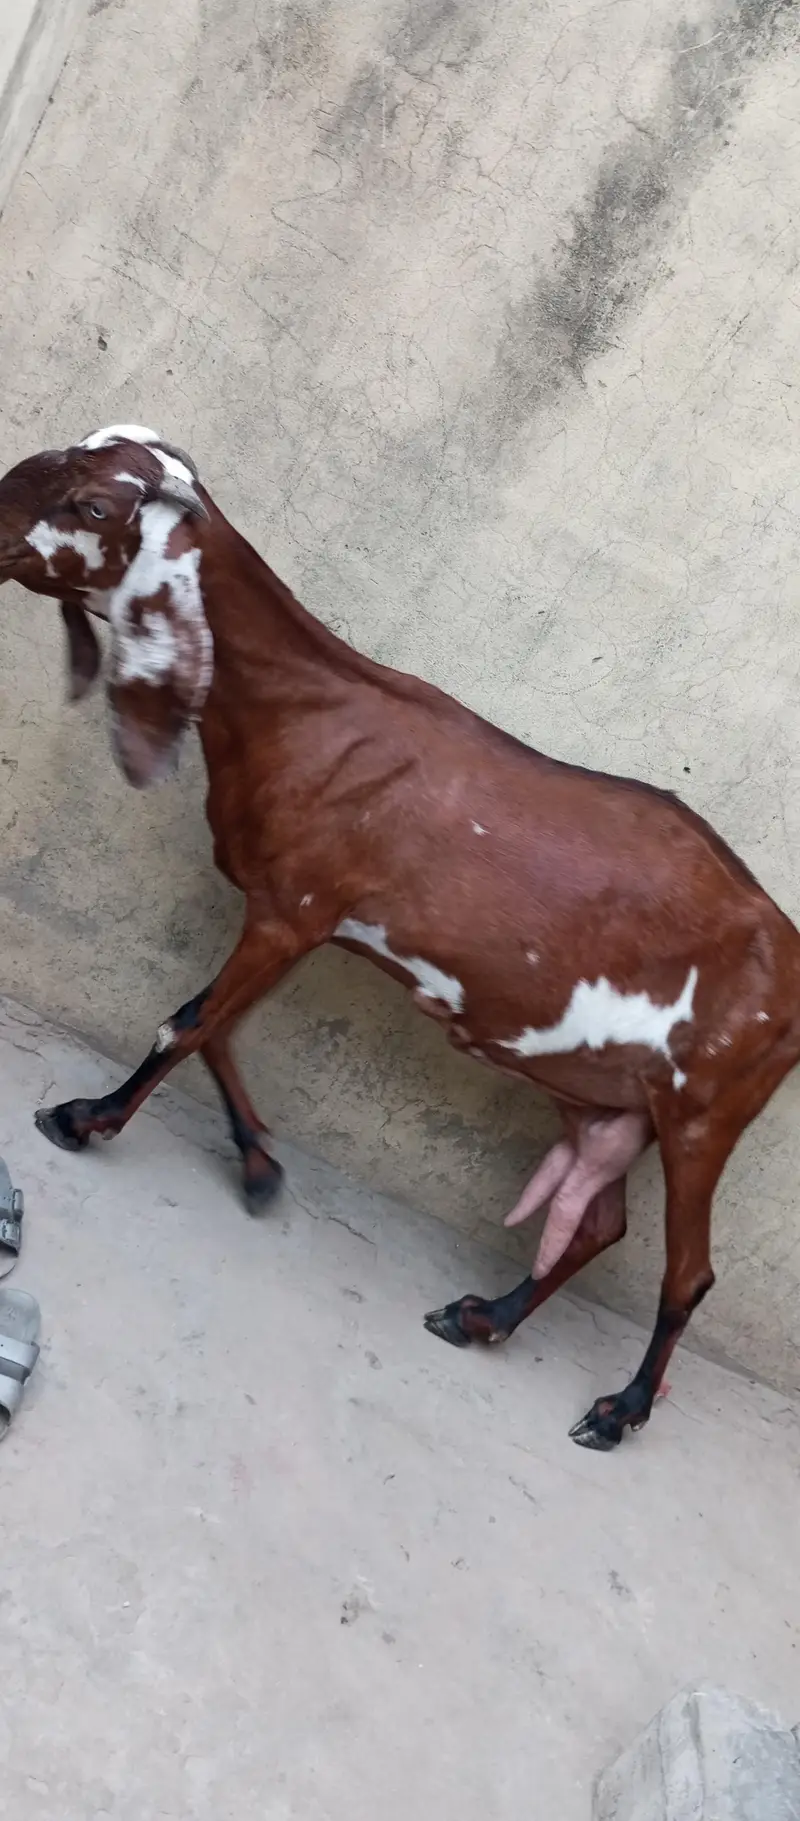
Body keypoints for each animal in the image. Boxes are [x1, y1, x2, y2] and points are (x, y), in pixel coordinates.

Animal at [1, 424, 798, 1450]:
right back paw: (485, 1316)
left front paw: (87, 1118)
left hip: (705, 1112)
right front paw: (259, 1164)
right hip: (598, 1093)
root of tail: (791, 970)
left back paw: (618, 1410)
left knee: (687, 1272)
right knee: (597, 1223)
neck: (306, 709)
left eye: (95, 505)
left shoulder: (296, 908)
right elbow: (219, 1029)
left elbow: (187, 1022)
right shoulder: (296, 920)